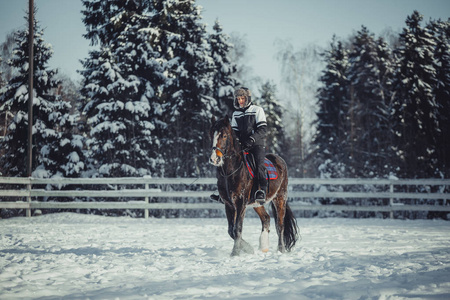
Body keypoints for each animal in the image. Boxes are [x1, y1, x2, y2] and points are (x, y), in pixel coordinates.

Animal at [210, 116, 298, 256]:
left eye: (224, 136)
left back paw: (281, 250)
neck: (231, 171)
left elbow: (237, 229)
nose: (214, 159)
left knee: (280, 226)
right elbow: (231, 230)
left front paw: (235, 253)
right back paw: (264, 247)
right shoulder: (229, 204)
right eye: (211, 134)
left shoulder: (240, 203)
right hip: (257, 203)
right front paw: (248, 248)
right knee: (266, 219)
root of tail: (280, 161)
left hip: (280, 198)